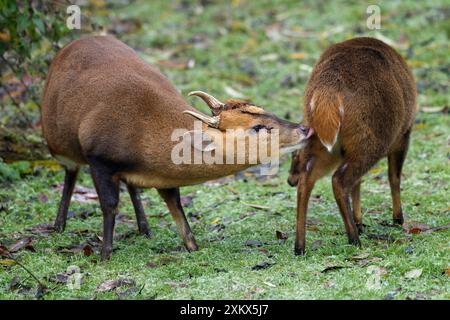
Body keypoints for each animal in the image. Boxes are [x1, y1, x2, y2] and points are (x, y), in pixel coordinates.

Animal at [40, 35, 312, 260]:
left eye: (265, 110)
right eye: (257, 127)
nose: (305, 129)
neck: (145, 133)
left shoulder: (164, 175)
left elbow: (177, 206)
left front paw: (193, 246)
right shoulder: (99, 159)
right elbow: (109, 205)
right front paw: (105, 254)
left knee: (131, 185)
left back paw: (144, 228)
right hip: (58, 144)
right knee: (71, 173)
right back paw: (59, 225)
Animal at [288, 37, 414, 254]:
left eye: (293, 154)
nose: (289, 180)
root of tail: (327, 94)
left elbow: (359, 183)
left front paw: (360, 221)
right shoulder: (404, 134)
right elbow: (394, 177)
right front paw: (398, 219)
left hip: (324, 145)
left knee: (308, 180)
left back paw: (300, 247)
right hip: (370, 142)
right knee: (339, 179)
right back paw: (354, 239)